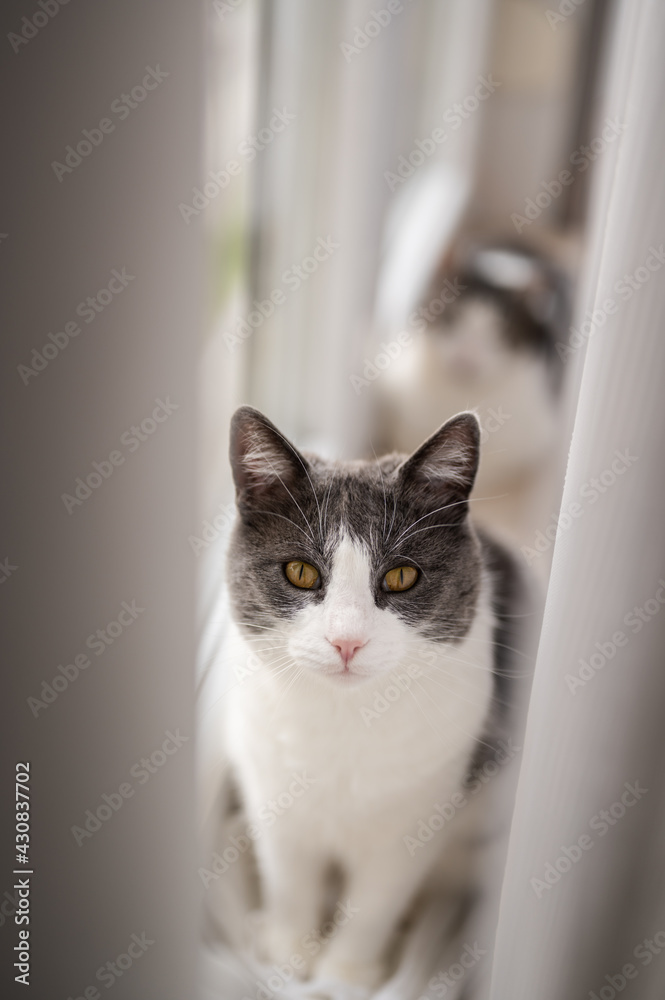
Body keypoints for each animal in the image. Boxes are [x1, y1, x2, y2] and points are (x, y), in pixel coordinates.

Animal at [202, 406, 528, 992]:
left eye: (401, 576)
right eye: (301, 572)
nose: (346, 641)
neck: (344, 718)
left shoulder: (417, 814)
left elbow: (375, 902)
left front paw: (345, 977)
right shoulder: (271, 788)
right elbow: (289, 876)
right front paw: (289, 955)